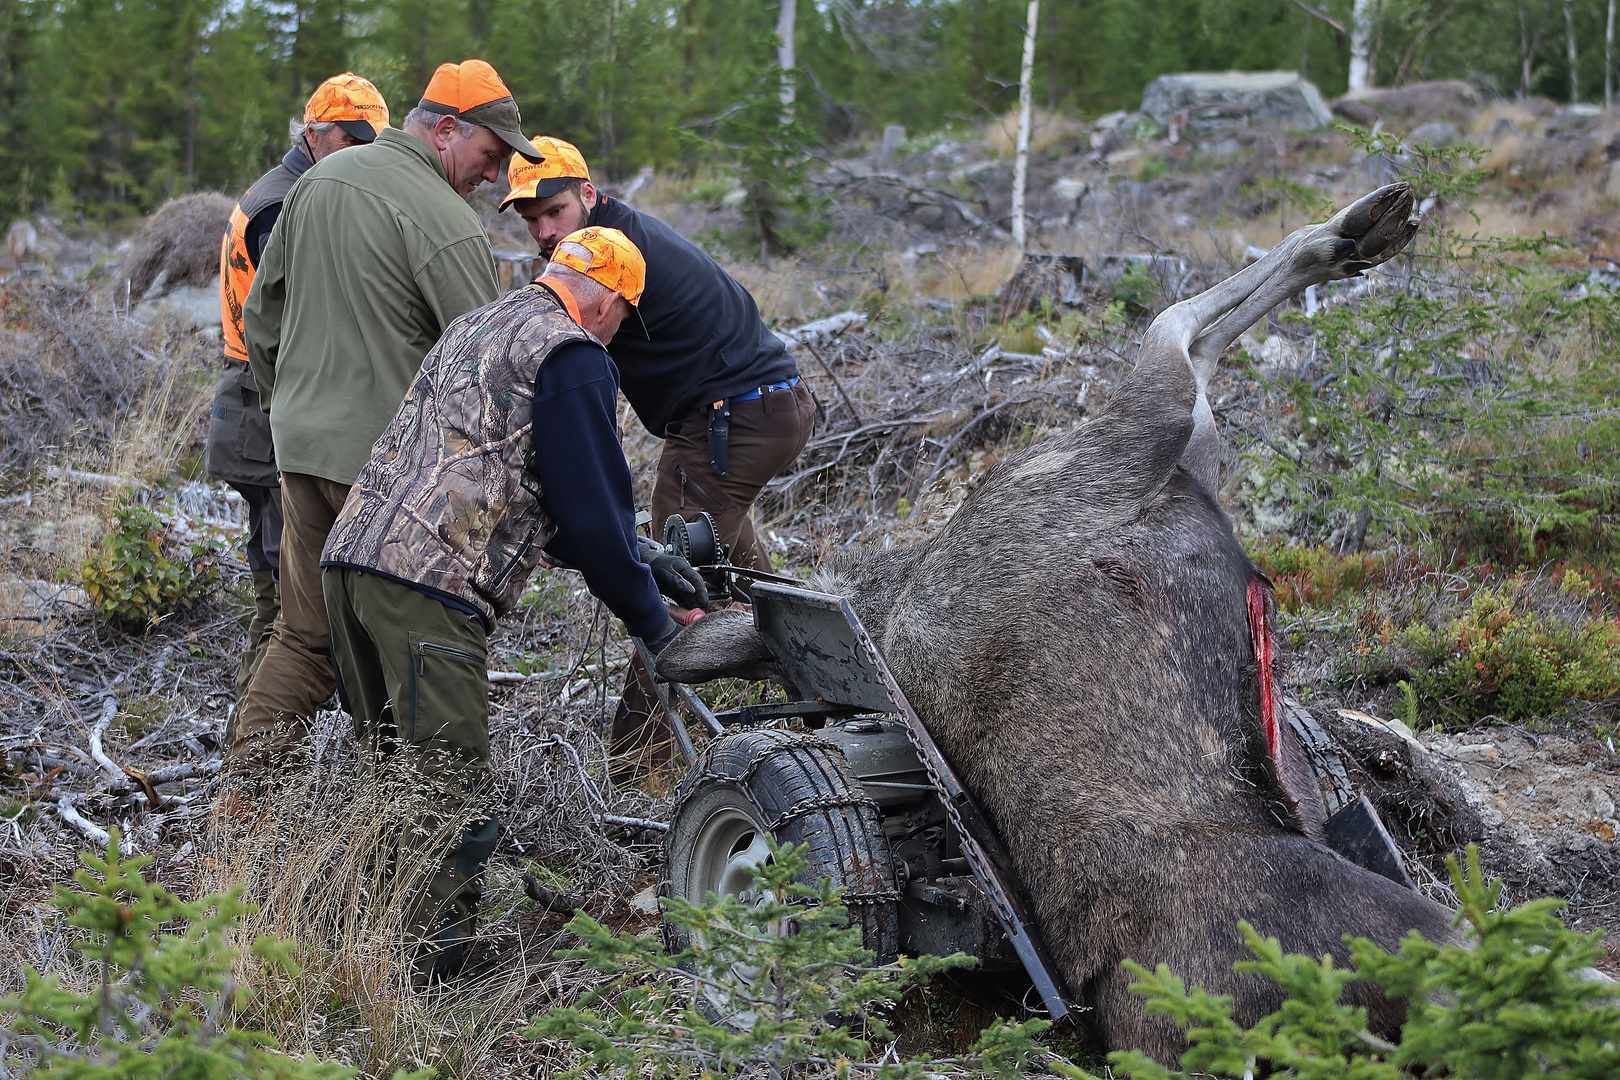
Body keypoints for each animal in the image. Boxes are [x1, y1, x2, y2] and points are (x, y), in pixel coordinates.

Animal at [654, 183, 1458, 1055]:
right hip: (1146, 446)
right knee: (1189, 346)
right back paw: (1360, 231)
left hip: (1115, 443)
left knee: (1177, 331)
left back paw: (1359, 228)